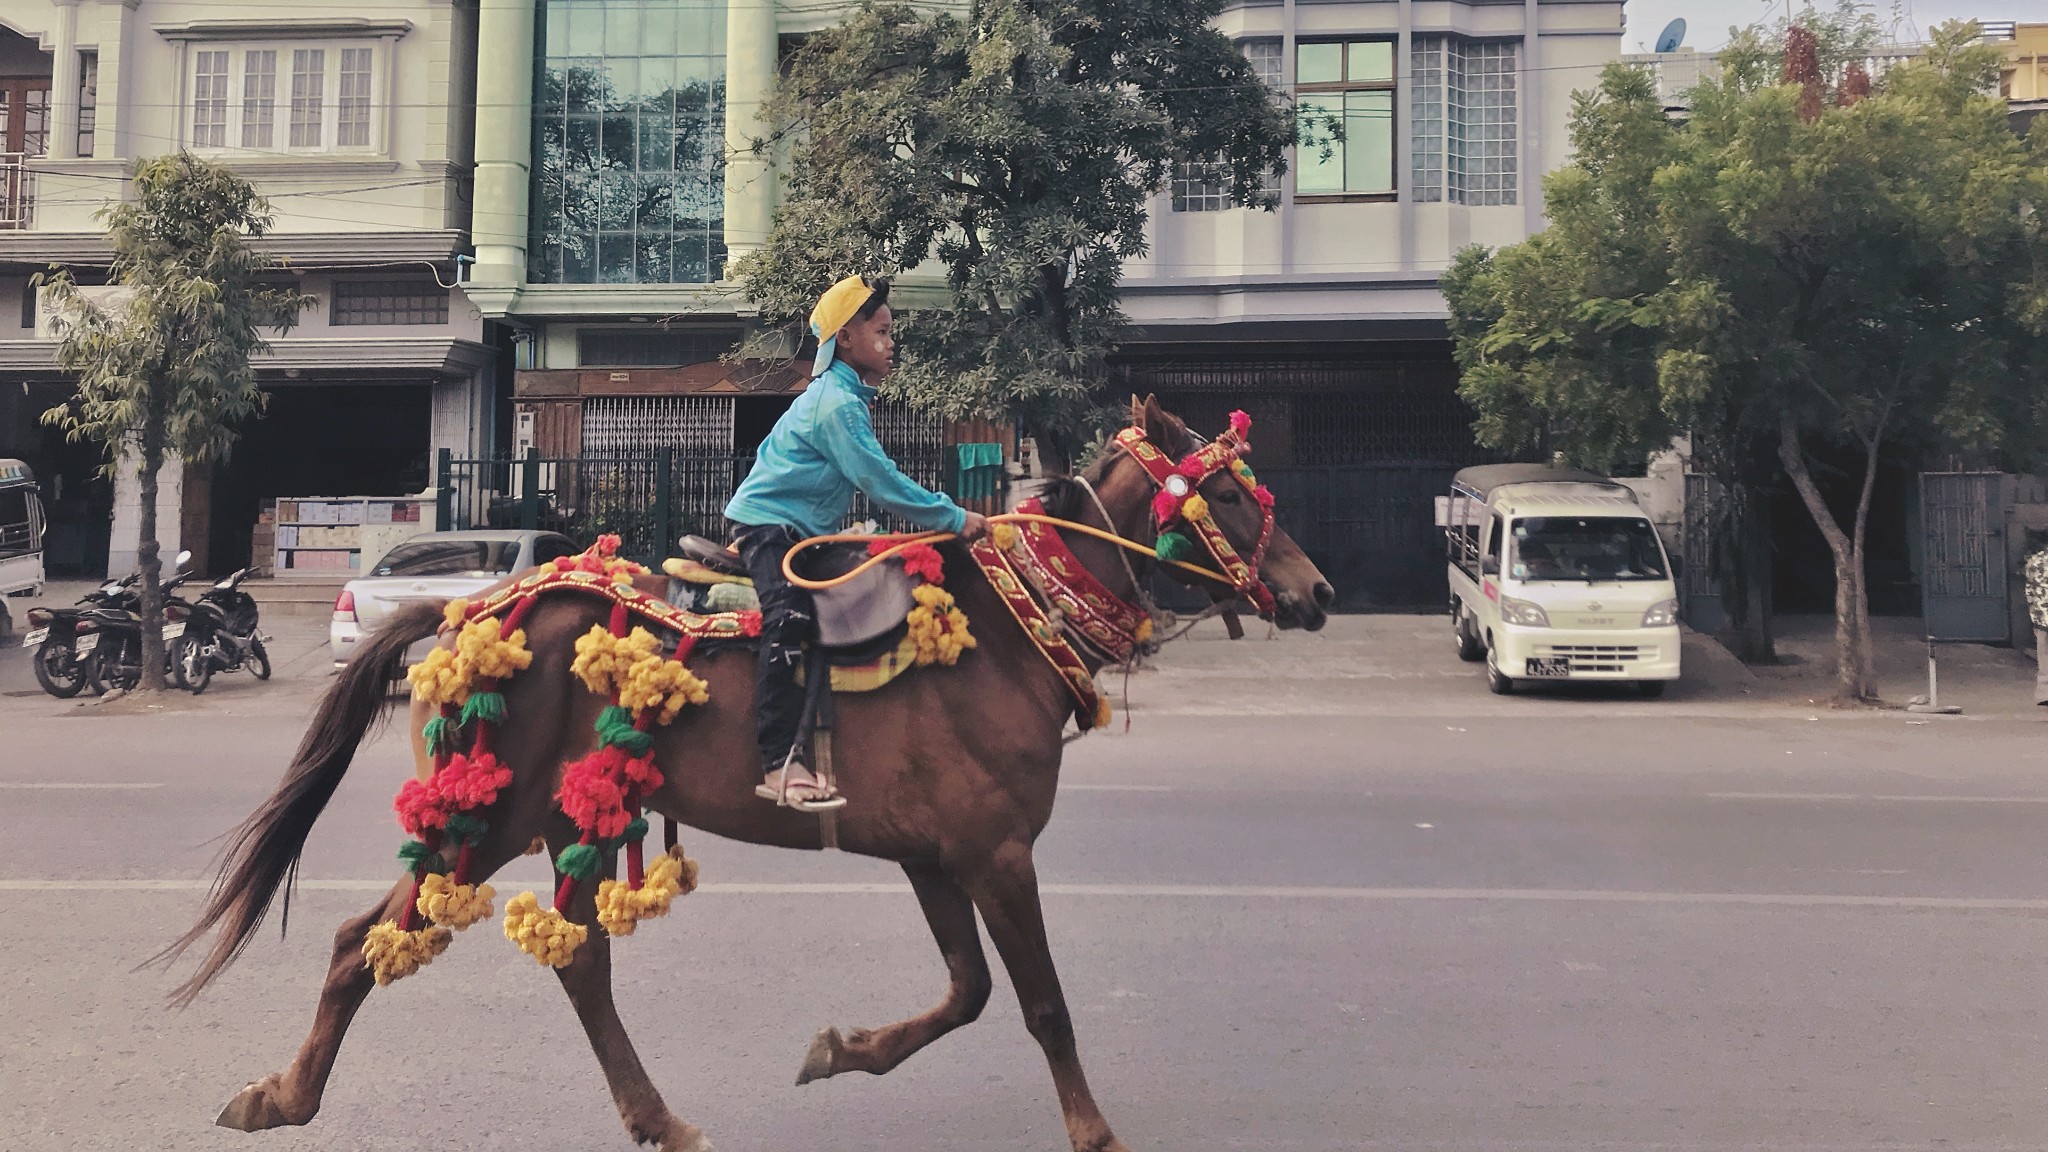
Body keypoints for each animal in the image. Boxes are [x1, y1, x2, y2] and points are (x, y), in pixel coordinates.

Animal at [167, 397, 1335, 1147]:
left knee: (577, 960)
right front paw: (1092, 1132)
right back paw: (282, 1097)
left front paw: (839, 1050)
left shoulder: (933, 853)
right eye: (1233, 499)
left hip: (570, 815)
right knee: (361, 942)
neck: (1011, 628)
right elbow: (1041, 1004)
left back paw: (657, 1120)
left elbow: (965, 994)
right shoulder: (996, 852)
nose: (1318, 592)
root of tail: (467, 612)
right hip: (481, 816)